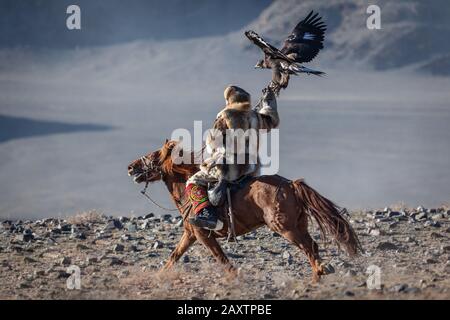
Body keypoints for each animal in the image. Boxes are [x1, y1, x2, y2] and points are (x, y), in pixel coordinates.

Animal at [127, 141, 362, 282]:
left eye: (153, 156)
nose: (131, 167)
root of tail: (291, 184)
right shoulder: (191, 233)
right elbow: (173, 256)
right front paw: (158, 276)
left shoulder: (203, 235)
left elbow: (221, 259)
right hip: (298, 224)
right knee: (312, 246)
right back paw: (316, 278)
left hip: (285, 228)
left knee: (308, 248)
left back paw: (319, 274)